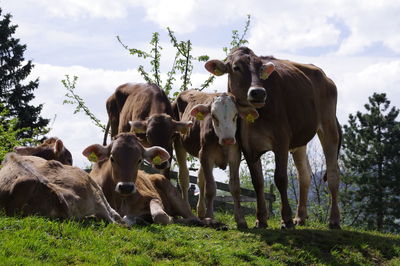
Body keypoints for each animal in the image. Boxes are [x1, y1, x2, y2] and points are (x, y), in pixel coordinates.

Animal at [173, 90, 258, 229]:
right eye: (213, 116)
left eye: (235, 115)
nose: (228, 139)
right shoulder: (206, 155)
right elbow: (210, 188)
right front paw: (211, 218)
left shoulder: (235, 156)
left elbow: (235, 187)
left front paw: (240, 219)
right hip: (178, 142)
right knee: (184, 178)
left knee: (200, 179)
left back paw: (201, 212)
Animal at [206, 46, 340, 230]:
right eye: (236, 67)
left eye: (261, 68)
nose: (258, 92)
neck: (256, 119)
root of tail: (325, 76)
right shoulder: (248, 147)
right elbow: (258, 182)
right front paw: (261, 219)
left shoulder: (281, 141)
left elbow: (281, 178)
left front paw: (286, 219)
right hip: (299, 141)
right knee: (304, 175)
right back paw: (300, 217)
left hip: (328, 127)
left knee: (333, 174)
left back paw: (334, 220)